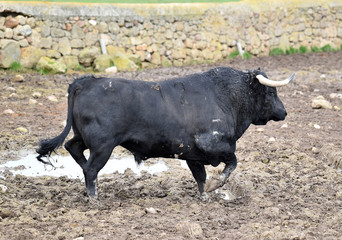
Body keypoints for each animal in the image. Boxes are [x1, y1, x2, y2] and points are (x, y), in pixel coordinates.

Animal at [36, 67, 294, 197]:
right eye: (271, 92)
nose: (284, 112)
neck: (226, 97)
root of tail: (85, 81)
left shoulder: (193, 155)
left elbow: (200, 178)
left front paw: (205, 195)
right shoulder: (214, 145)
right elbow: (232, 164)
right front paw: (215, 185)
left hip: (85, 138)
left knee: (73, 148)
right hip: (102, 146)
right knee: (90, 169)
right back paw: (93, 196)